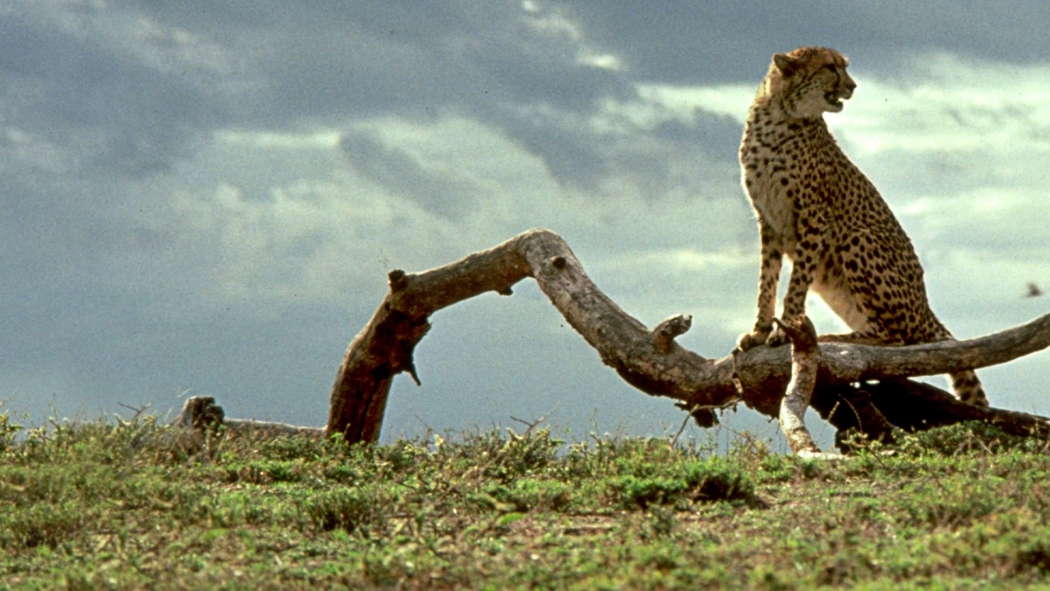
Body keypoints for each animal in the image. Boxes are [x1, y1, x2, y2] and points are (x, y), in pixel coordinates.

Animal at [734, 46, 988, 407]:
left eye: (844, 67)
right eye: (830, 67)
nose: (852, 86)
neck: (781, 115)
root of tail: (925, 308)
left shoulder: (814, 216)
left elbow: (795, 285)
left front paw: (784, 331)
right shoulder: (768, 221)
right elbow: (766, 282)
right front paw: (758, 331)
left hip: (859, 239)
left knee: (898, 340)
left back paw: (837, 338)